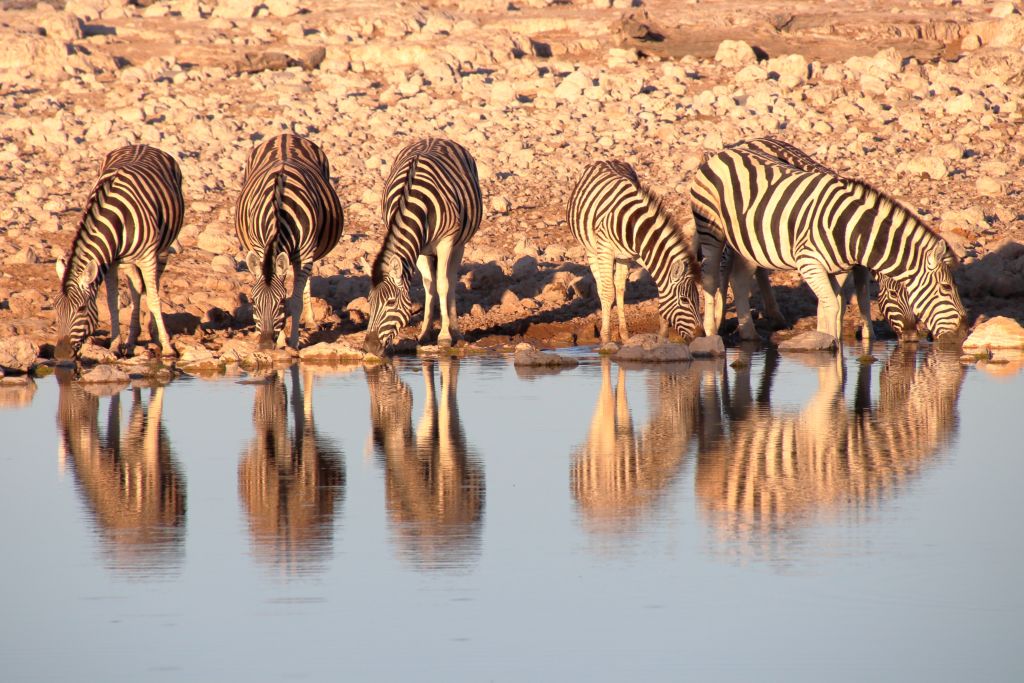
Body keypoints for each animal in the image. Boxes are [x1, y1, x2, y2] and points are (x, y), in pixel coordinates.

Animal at [51, 145, 185, 362]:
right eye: (55, 307)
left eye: (81, 309)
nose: (61, 355)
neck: (115, 217)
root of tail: (142, 145)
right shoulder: (109, 260)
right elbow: (113, 302)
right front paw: (115, 346)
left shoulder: (147, 256)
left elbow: (154, 300)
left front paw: (168, 349)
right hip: (127, 260)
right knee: (137, 287)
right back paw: (130, 342)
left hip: (163, 247)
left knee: (152, 286)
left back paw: (154, 334)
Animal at [234, 133, 344, 350]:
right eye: (254, 302)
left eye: (280, 303)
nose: (265, 344)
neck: (279, 209)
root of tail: (285, 135)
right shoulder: (259, 247)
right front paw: (280, 341)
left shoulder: (306, 252)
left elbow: (296, 301)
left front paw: (292, 342)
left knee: (305, 280)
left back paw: (310, 320)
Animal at [364, 137, 483, 356]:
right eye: (369, 302)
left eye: (390, 303)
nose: (369, 347)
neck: (415, 202)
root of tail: (434, 138)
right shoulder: (418, 249)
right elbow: (429, 285)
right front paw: (425, 333)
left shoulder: (446, 242)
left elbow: (443, 285)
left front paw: (444, 336)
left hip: (459, 244)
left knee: (450, 280)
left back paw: (456, 331)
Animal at [569, 158, 704, 344]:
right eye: (683, 300)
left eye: (698, 299)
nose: (701, 336)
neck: (633, 225)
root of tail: (605, 160)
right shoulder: (605, 248)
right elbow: (608, 293)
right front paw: (606, 339)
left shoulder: (636, 254)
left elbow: (631, 290)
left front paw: (660, 335)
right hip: (591, 249)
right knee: (602, 287)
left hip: (622, 256)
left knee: (619, 287)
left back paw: (624, 334)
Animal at [688, 141, 966, 342]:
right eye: (946, 288)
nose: (963, 331)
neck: (852, 231)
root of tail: (726, 151)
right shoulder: (810, 262)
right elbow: (834, 303)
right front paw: (829, 348)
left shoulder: (840, 267)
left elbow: (836, 303)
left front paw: (831, 336)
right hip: (712, 231)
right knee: (712, 277)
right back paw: (713, 331)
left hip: (748, 241)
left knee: (739, 277)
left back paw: (750, 335)